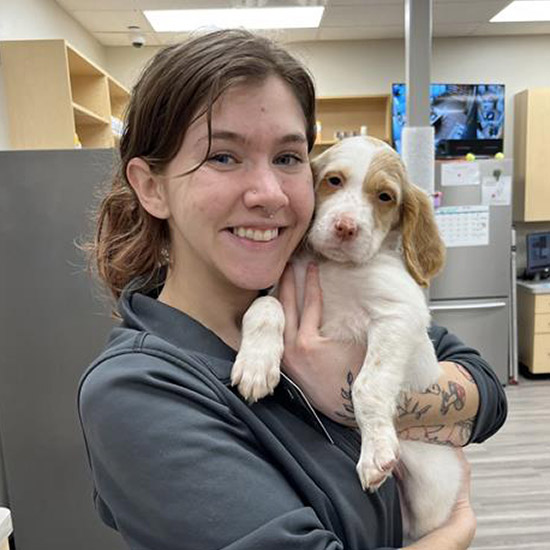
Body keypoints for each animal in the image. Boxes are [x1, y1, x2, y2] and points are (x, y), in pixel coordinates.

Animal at [231, 136, 464, 540]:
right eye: (333, 181)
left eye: (385, 196)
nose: (345, 228)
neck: (334, 268)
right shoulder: (282, 289)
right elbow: (263, 307)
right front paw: (256, 364)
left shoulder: (399, 313)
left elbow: (367, 385)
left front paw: (375, 450)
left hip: (431, 486)